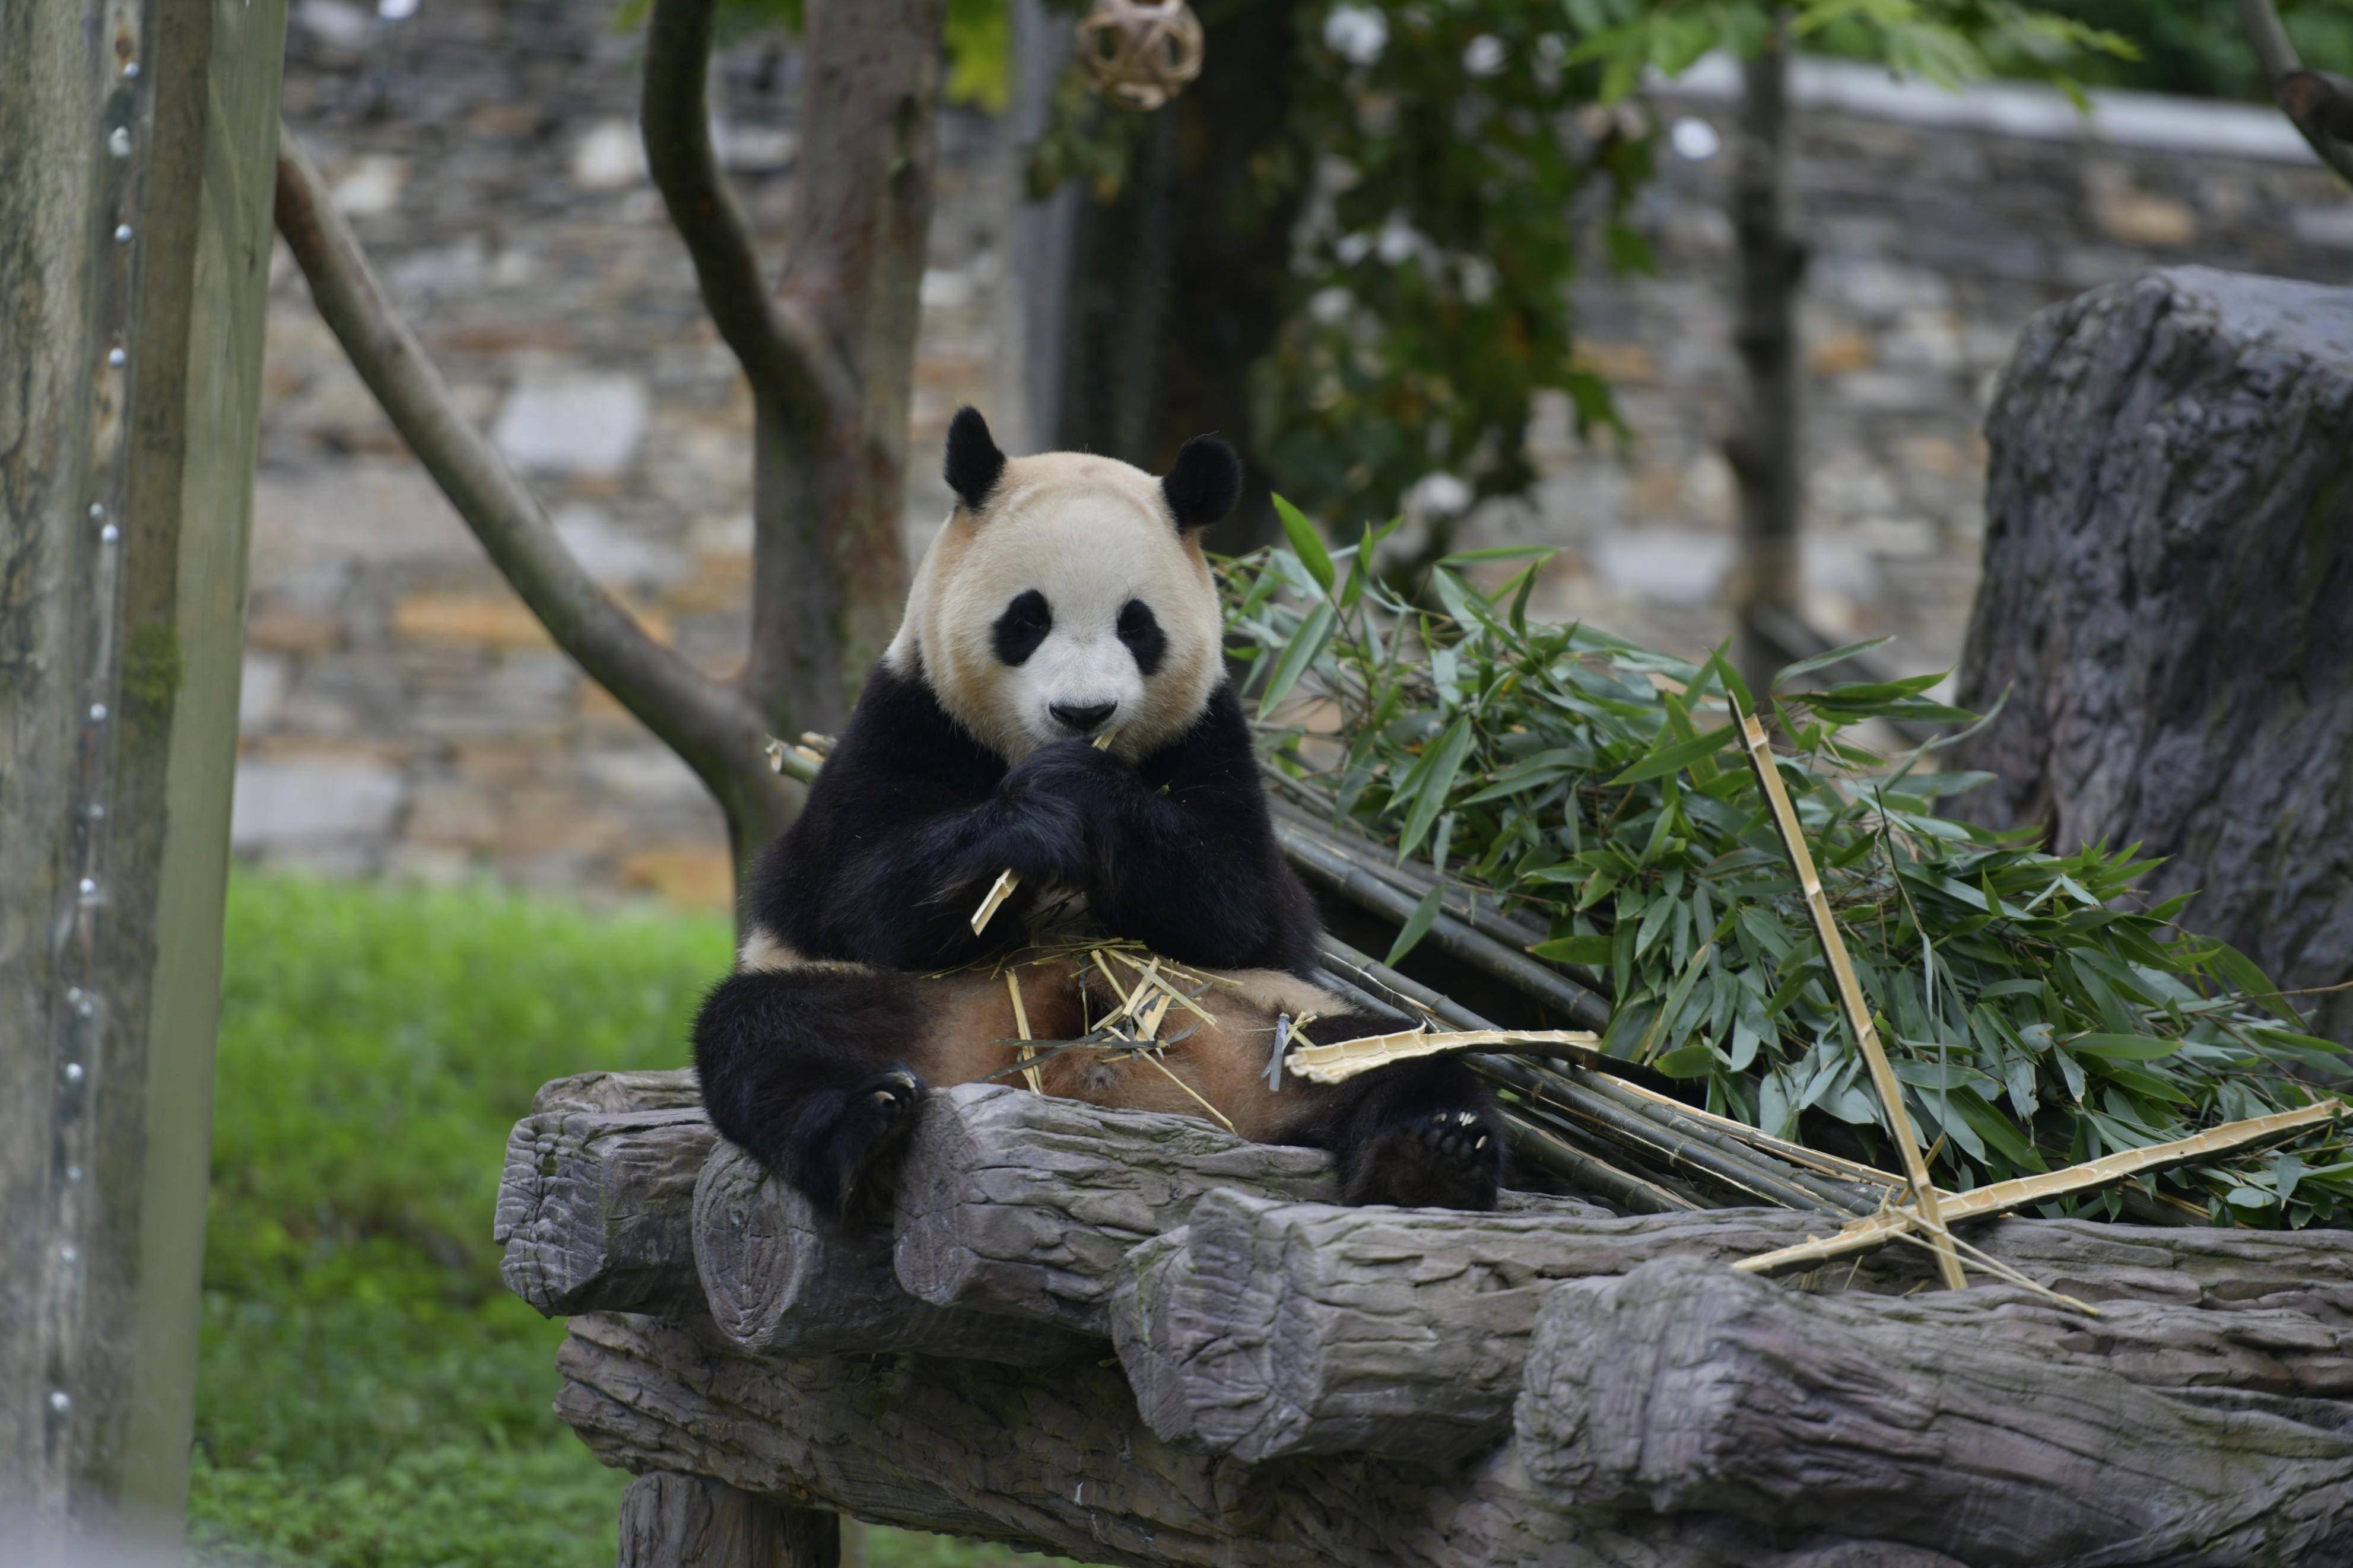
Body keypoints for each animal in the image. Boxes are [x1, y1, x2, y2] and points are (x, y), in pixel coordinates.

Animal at [691, 404, 1506, 1213]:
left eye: (1136, 625)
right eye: (1026, 619)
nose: (1083, 714)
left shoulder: (1211, 741)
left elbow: (1248, 908)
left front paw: (1083, 787)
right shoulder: (904, 719)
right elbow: (849, 895)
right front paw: (1030, 824)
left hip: (1277, 1021)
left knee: (1402, 1053)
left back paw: (1430, 1156)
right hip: (901, 1007)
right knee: (762, 1035)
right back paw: (864, 1128)